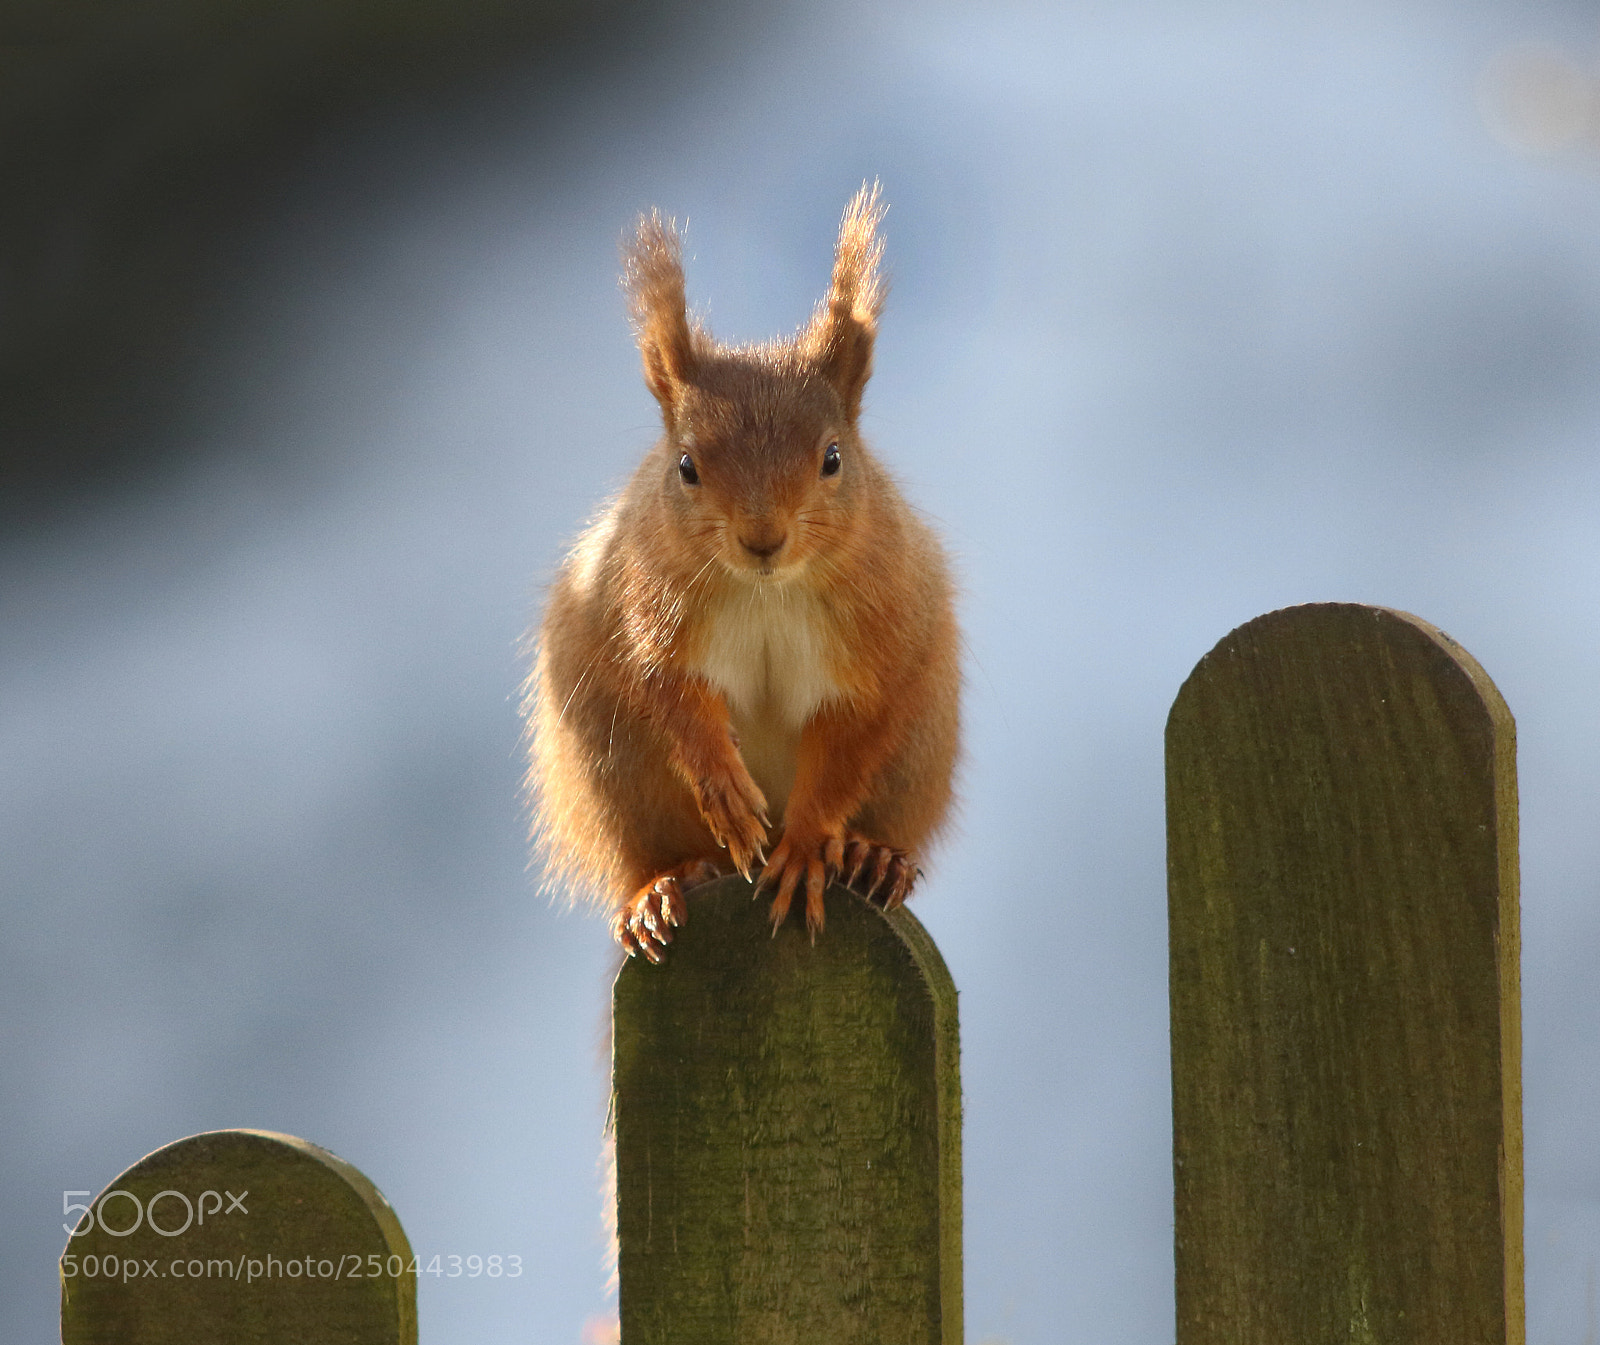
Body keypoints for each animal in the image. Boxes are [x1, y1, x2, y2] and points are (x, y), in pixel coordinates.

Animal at [522, 184, 961, 961]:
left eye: (833, 458)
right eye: (687, 466)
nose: (763, 538)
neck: (766, 592)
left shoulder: (884, 635)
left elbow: (848, 743)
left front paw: (808, 845)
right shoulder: (640, 605)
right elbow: (667, 693)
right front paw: (724, 791)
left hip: (918, 757)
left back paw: (874, 856)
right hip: (607, 773)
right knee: (643, 853)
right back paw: (661, 889)